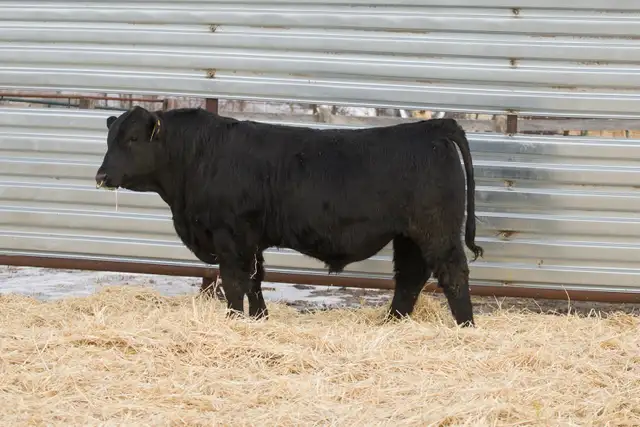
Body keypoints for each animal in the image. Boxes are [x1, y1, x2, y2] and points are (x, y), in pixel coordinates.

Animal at [94, 106, 483, 326]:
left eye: (132, 139)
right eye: (110, 138)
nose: (101, 176)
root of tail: (432, 127)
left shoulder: (230, 235)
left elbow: (234, 282)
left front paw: (233, 322)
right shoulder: (251, 240)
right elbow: (255, 280)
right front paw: (260, 320)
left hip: (437, 230)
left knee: (452, 274)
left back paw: (464, 327)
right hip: (408, 236)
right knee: (410, 278)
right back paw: (390, 324)